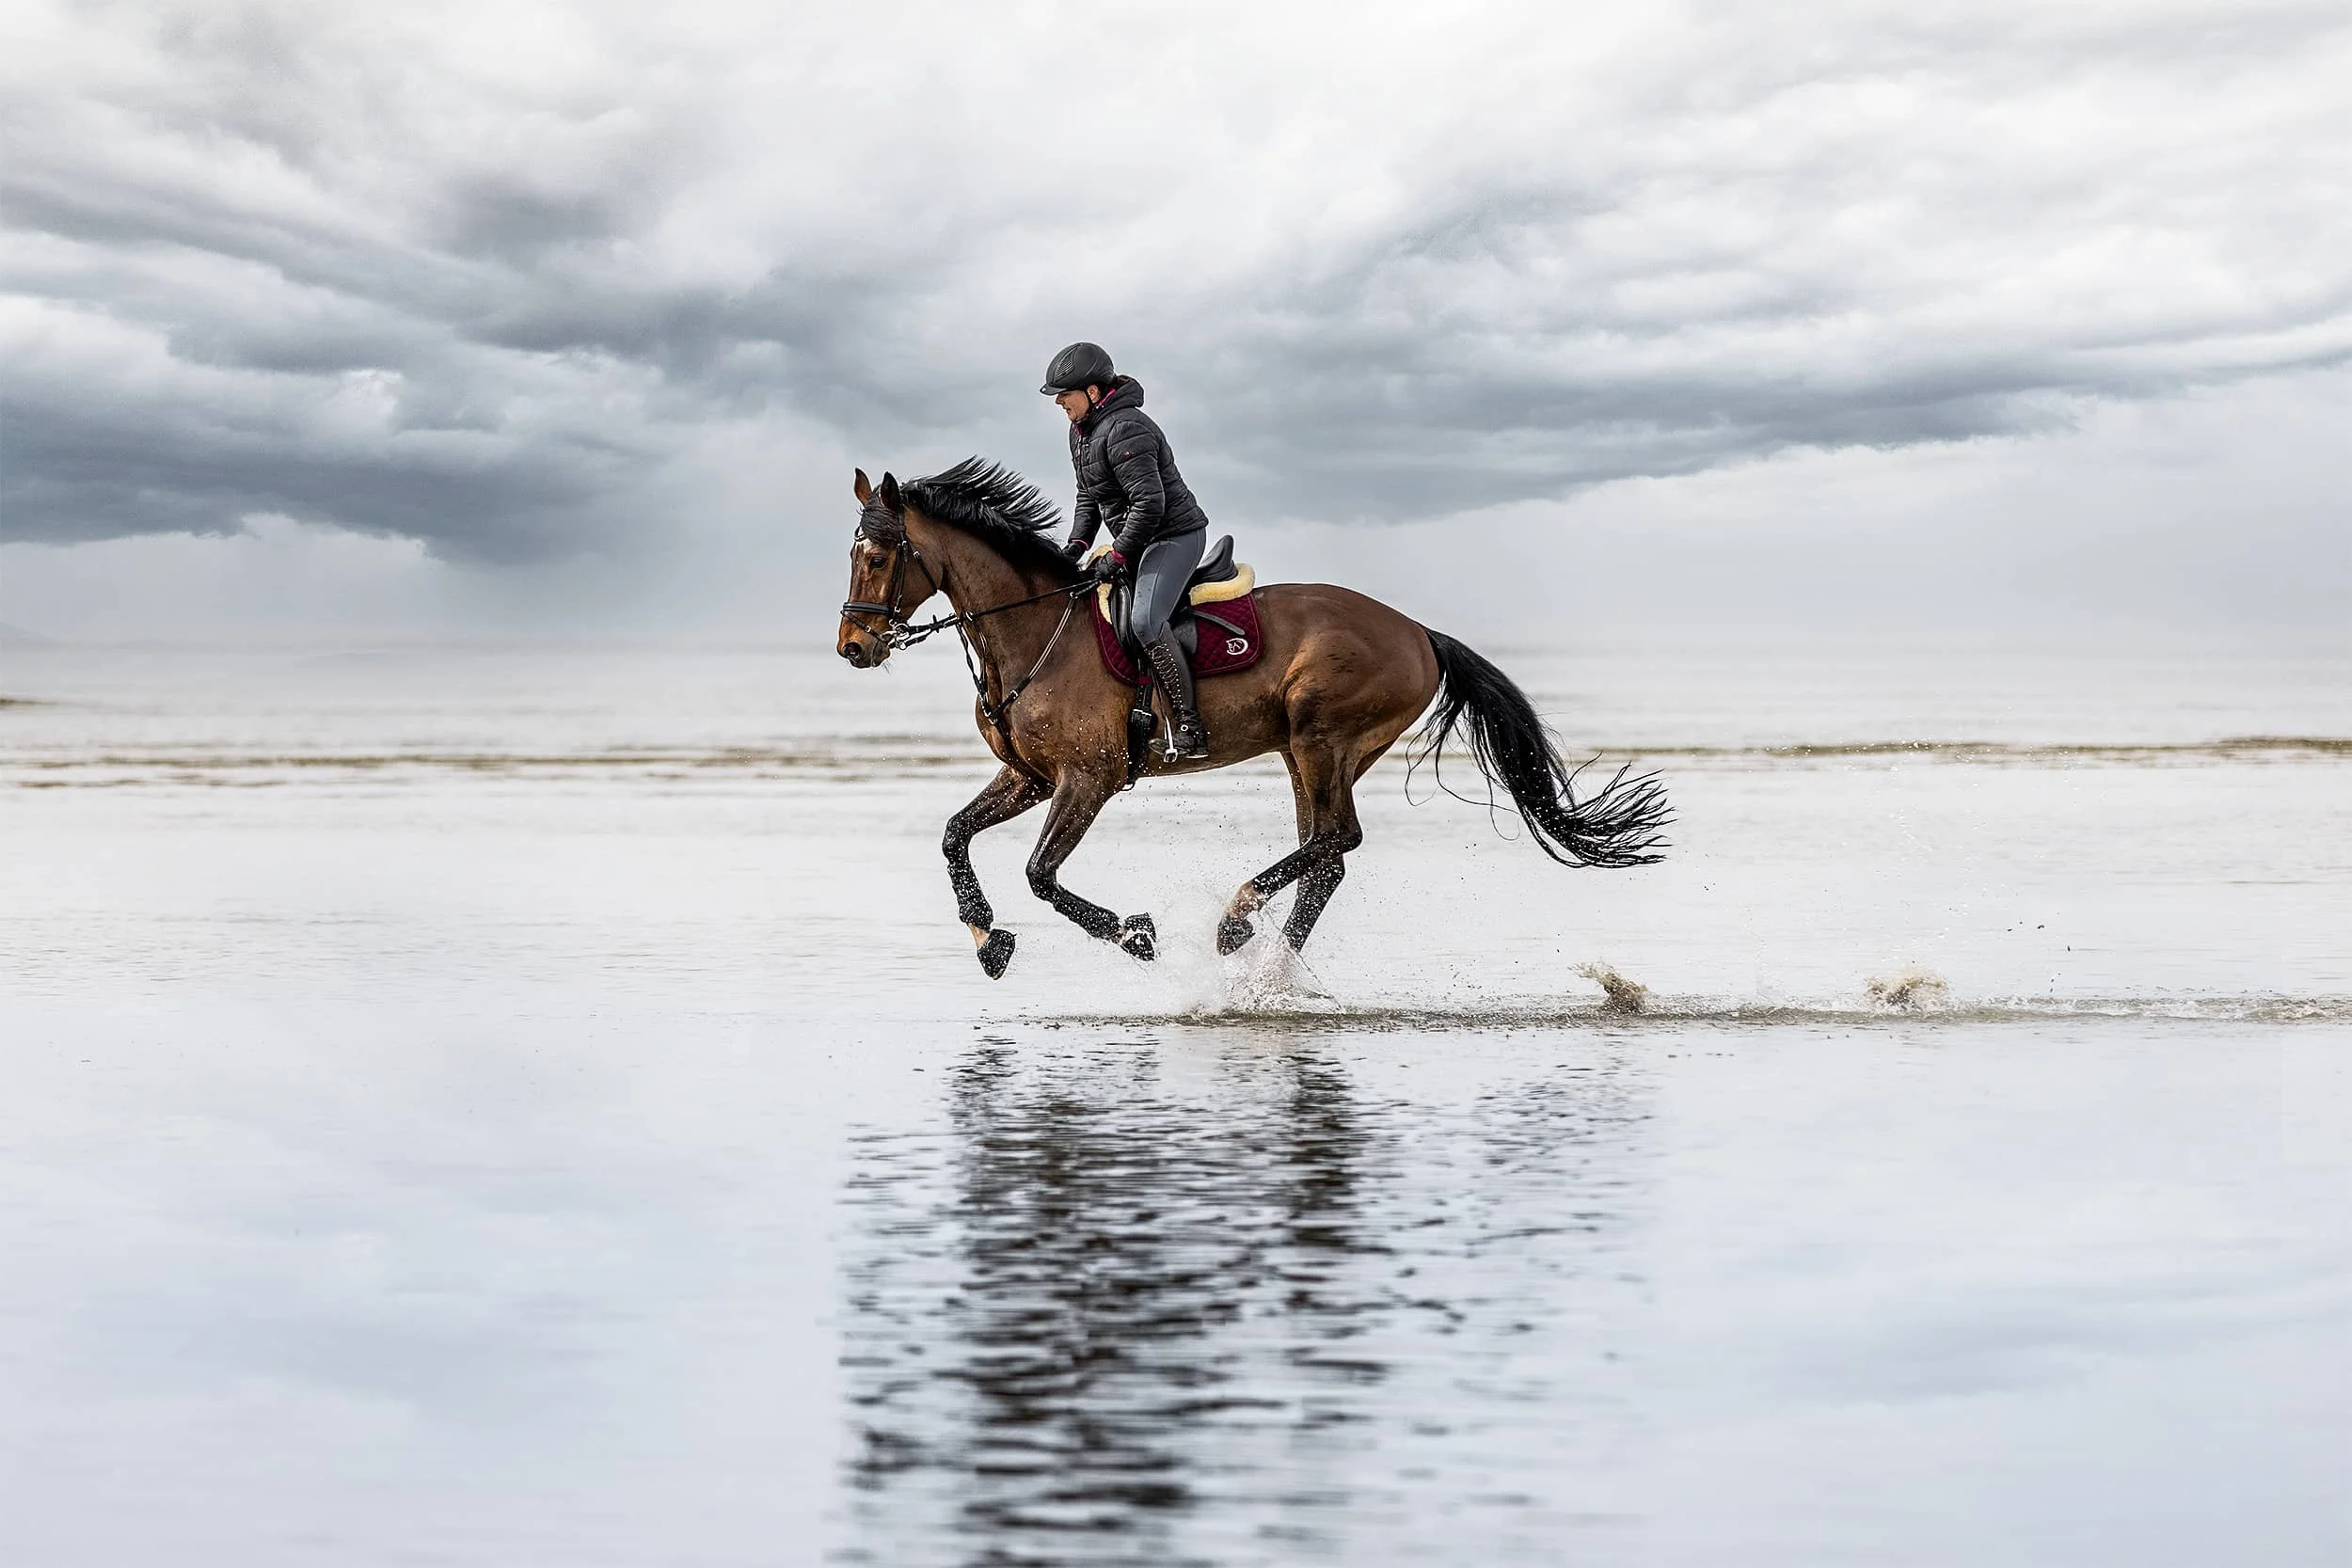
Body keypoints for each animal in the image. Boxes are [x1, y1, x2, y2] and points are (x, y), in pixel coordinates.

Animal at [835, 459, 1669, 979]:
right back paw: (1268, 968)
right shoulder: (1030, 777)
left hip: (1320, 733)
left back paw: (1237, 924)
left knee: (1338, 839)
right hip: (1306, 752)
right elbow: (954, 836)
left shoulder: (1089, 777)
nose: (853, 646)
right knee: (1327, 856)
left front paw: (1136, 935)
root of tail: (1418, 632)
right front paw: (988, 940)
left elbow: (1041, 873)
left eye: (878, 556)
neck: (1035, 627)